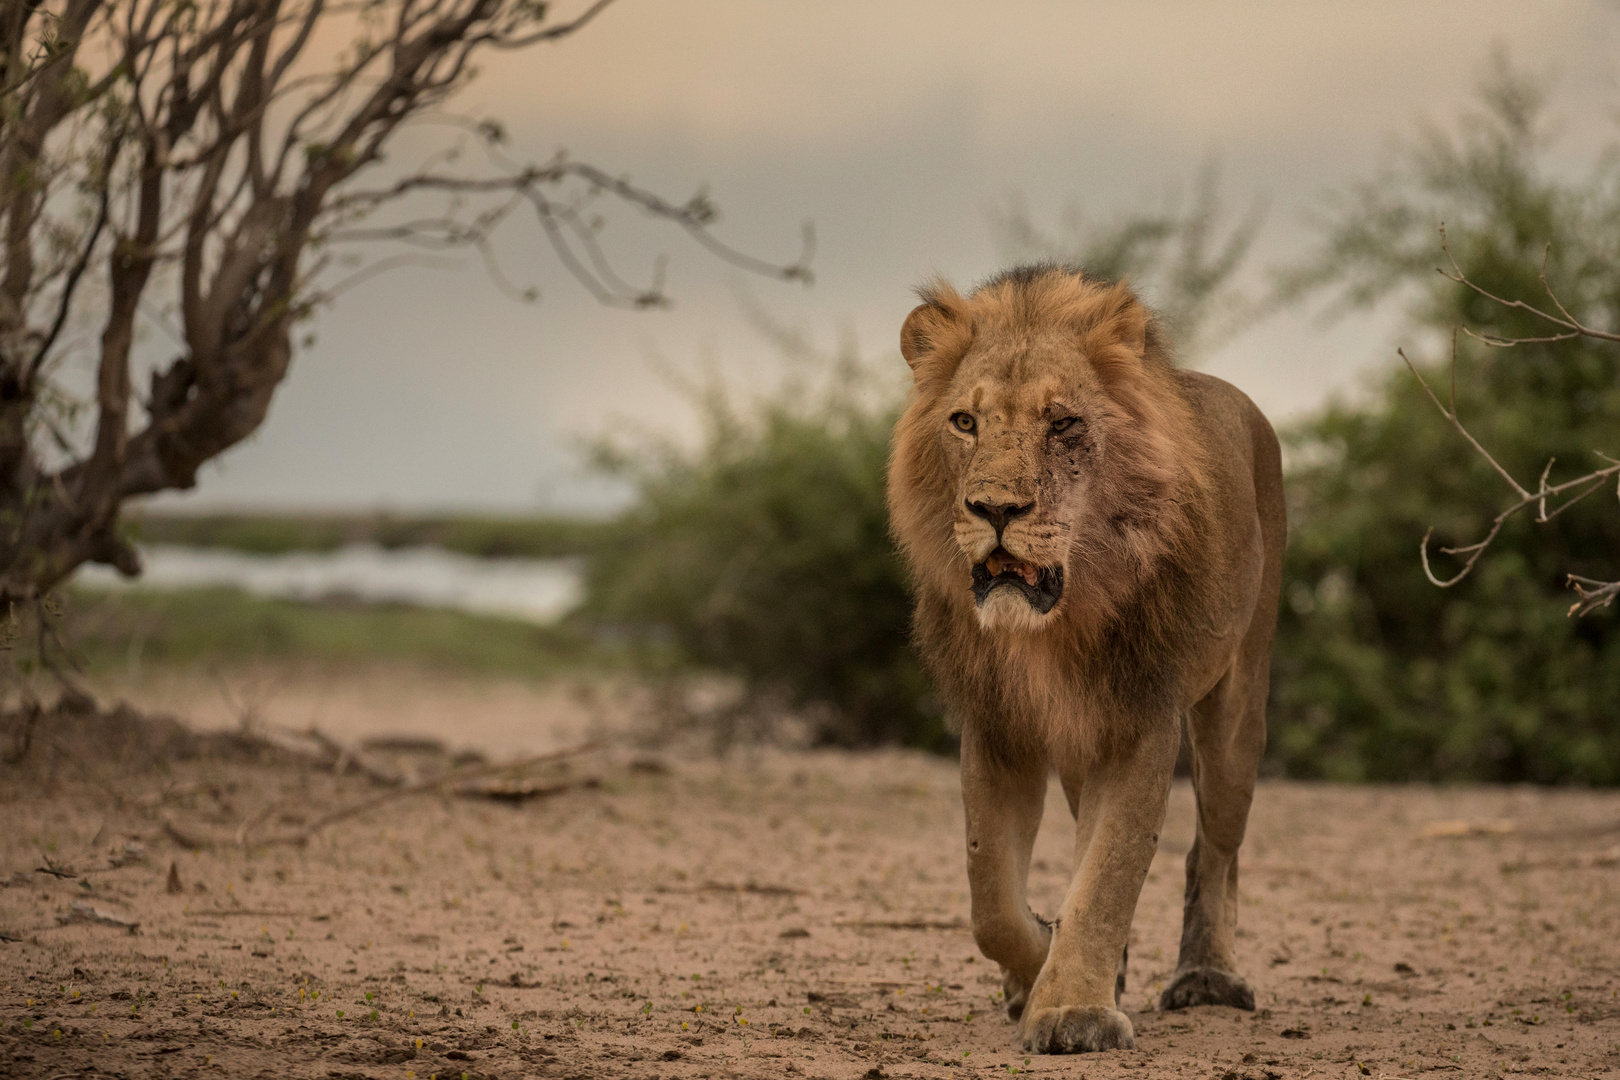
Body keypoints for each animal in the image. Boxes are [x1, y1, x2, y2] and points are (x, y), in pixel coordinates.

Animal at [881, 263, 1283, 1055]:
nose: (993, 509)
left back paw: (1208, 978)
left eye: (1063, 423)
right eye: (965, 422)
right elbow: (991, 897)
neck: (1051, 628)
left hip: (1236, 709)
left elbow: (1110, 874)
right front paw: (1038, 963)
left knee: (1215, 849)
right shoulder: (998, 725)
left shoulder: (1139, 719)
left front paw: (1073, 1010)